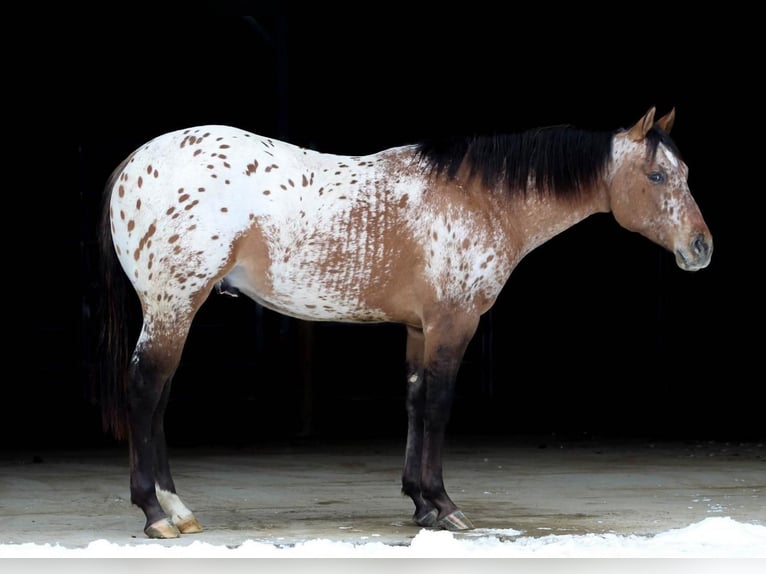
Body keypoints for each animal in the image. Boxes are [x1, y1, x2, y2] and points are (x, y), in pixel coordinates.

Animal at [99, 108, 716, 540]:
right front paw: (444, 507)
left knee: (157, 397)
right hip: (174, 304)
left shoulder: (420, 330)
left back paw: (177, 507)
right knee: (144, 390)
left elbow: (417, 404)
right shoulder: (452, 323)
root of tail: (133, 163)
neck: (480, 200)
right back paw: (156, 513)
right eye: (657, 175)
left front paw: (421, 503)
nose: (701, 248)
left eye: (685, 172)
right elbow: (439, 406)